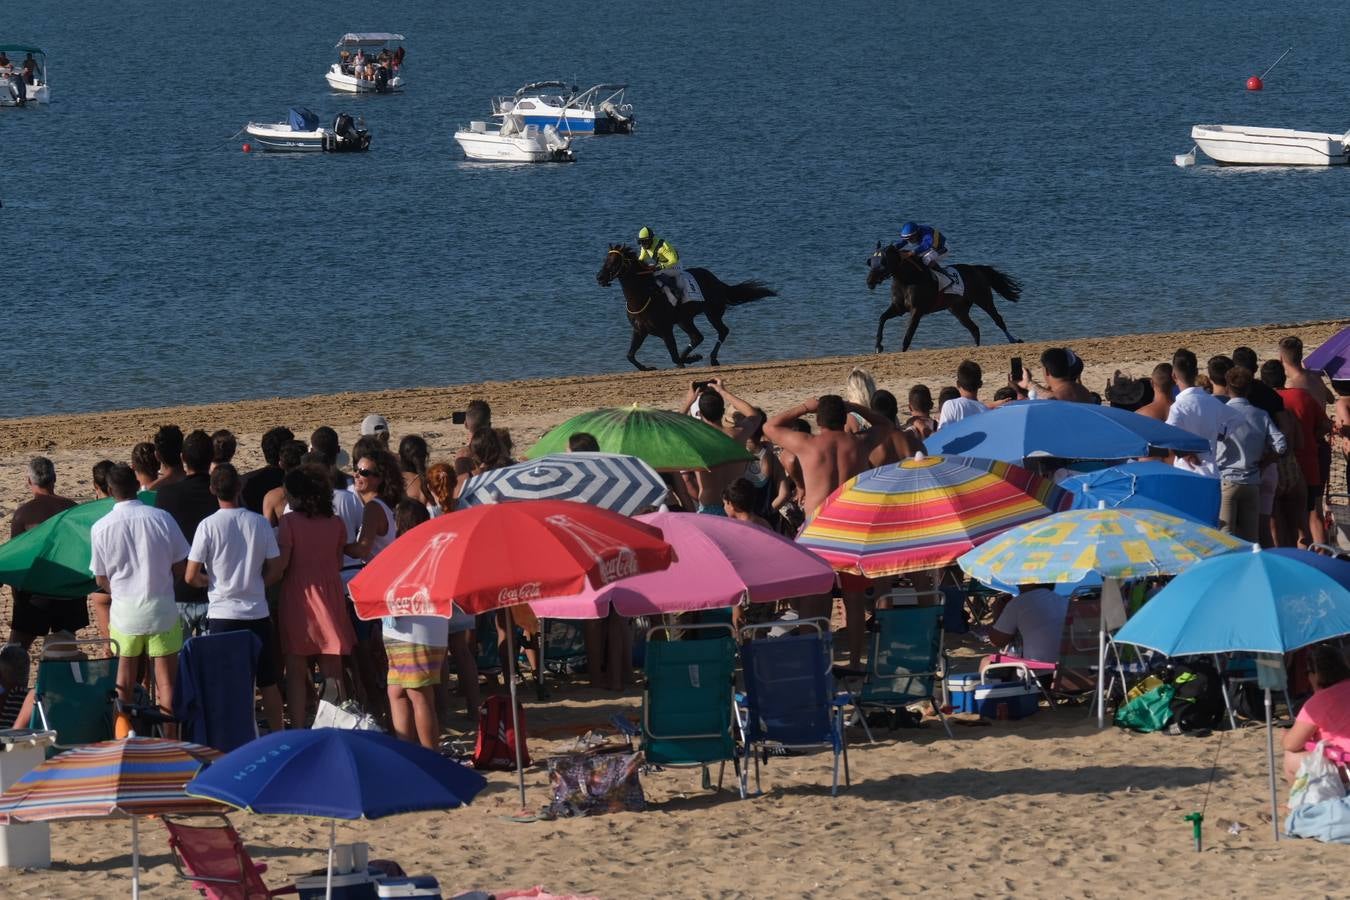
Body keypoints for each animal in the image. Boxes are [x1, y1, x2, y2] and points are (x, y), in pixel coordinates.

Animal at [596, 244, 777, 372]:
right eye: (605, 260)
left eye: (615, 261)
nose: (599, 277)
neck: (643, 296)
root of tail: (717, 281)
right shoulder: (640, 331)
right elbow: (630, 355)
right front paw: (647, 368)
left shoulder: (666, 330)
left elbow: (674, 357)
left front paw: (694, 358)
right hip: (685, 320)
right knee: (697, 337)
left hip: (711, 313)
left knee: (722, 331)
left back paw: (712, 359)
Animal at [864, 242, 1020, 356]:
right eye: (870, 261)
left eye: (883, 261)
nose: (870, 281)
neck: (908, 279)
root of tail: (977, 269)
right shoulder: (898, 308)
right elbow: (882, 318)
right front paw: (878, 346)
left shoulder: (917, 311)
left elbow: (908, 335)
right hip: (958, 310)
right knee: (974, 329)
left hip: (984, 299)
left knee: (997, 319)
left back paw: (1013, 339)